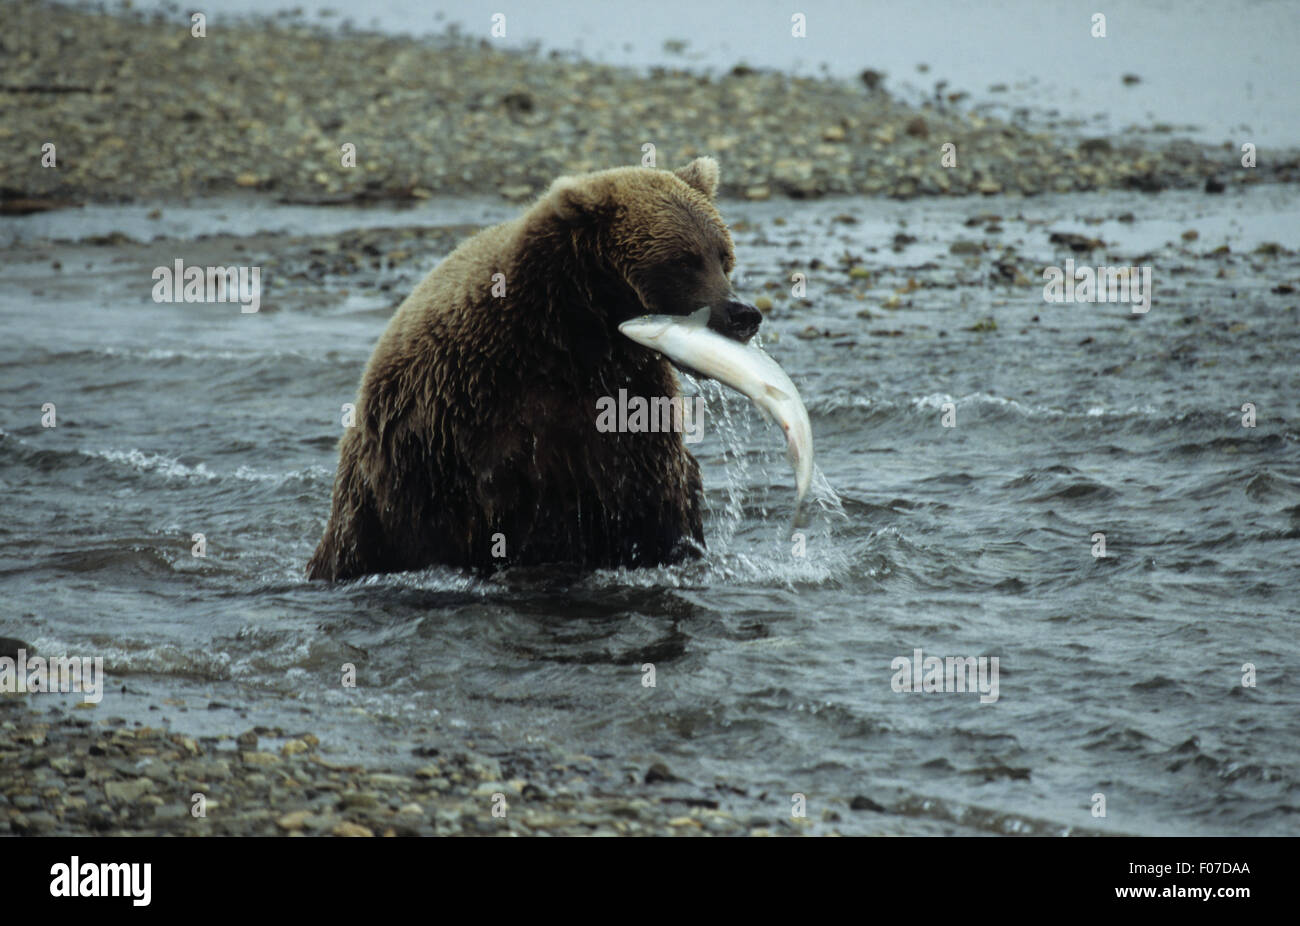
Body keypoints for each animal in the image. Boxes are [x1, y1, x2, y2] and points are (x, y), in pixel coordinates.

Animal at [306, 157, 759, 577]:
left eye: (723, 256)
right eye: (684, 261)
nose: (743, 313)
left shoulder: (626, 401)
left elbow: (653, 496)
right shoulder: (472, 414)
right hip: (378, 502)